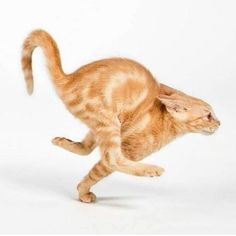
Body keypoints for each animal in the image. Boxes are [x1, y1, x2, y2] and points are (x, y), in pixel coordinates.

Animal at [21, 29, 220, 203]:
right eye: (208, 116)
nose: (220, 123)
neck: (163, 120)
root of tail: (69, 79)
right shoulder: (128, 150)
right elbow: (99, 169)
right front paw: (83, 191)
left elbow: (90, 152)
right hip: (107, 122)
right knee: (112, 158)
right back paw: (151, 169)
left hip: (104, 123)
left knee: (86, 147)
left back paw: (62, 141)